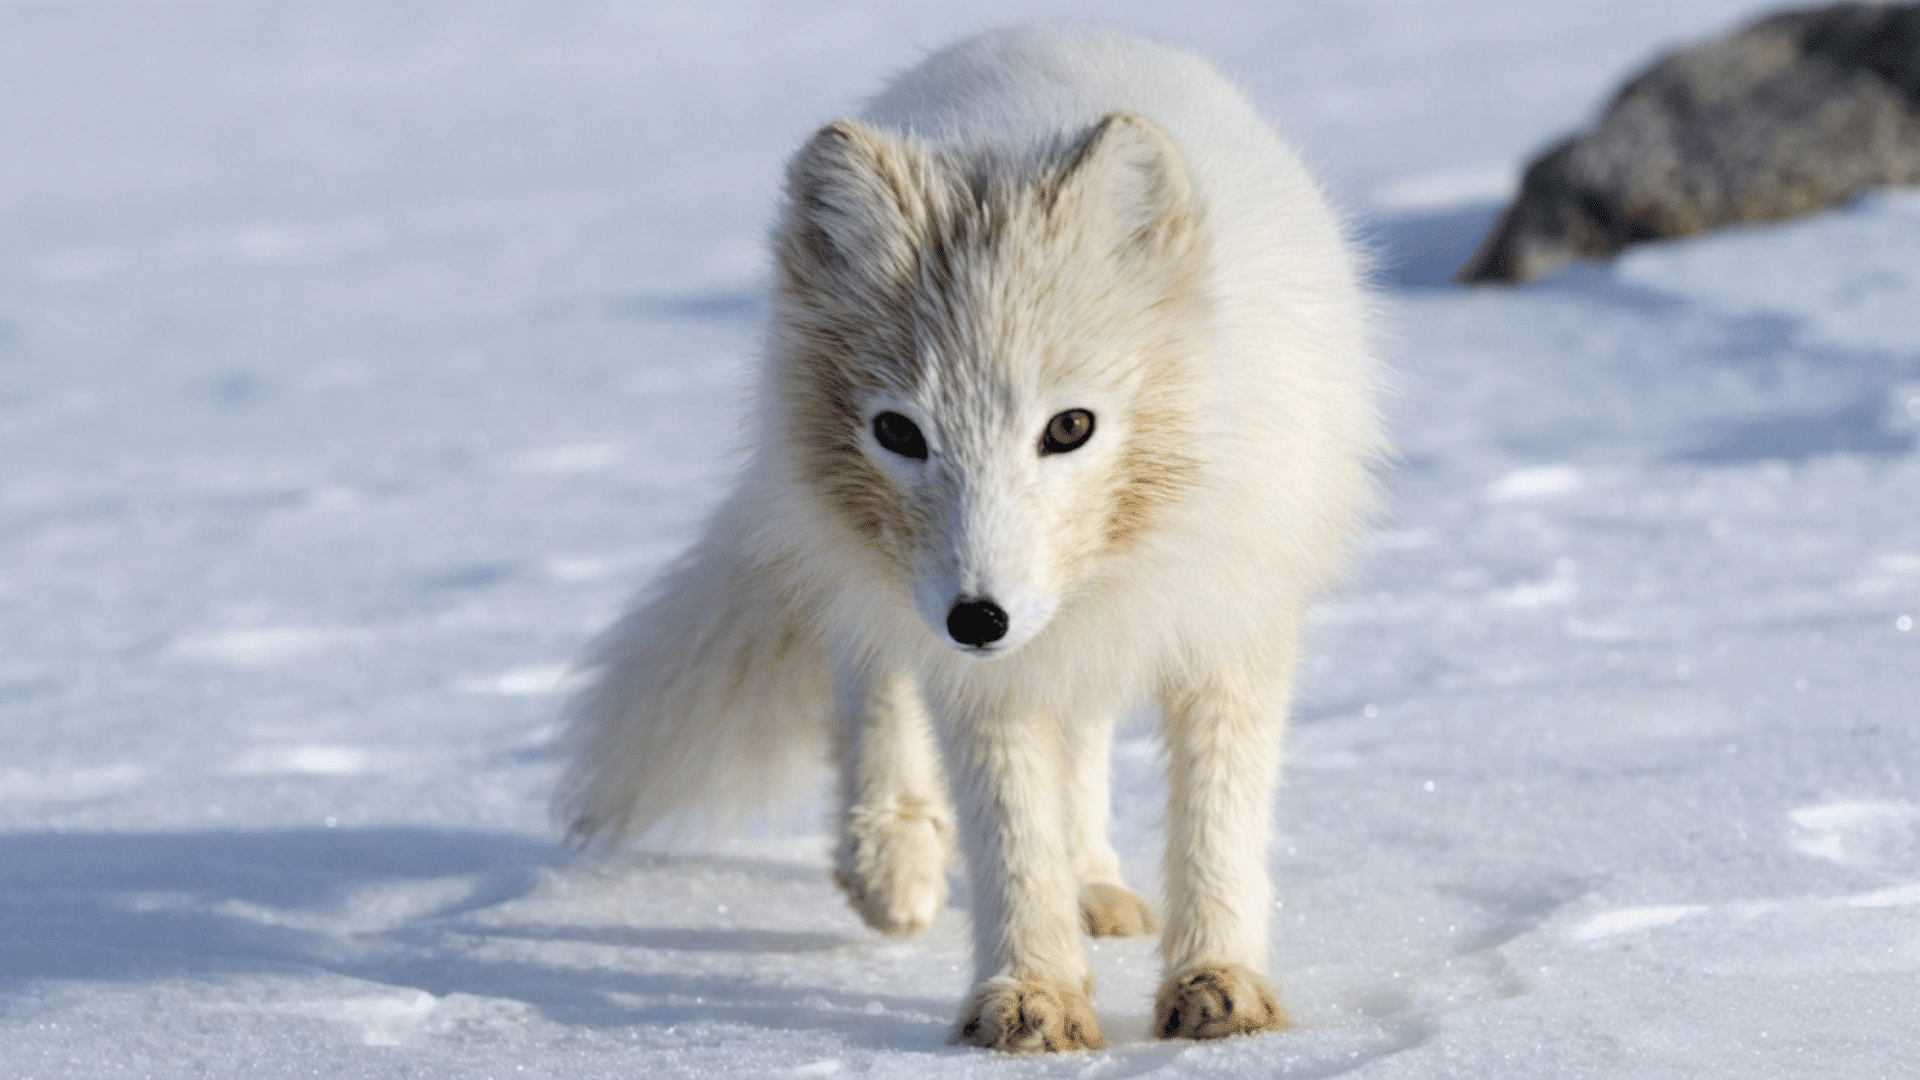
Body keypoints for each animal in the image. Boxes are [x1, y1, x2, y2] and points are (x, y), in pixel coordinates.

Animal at [556, 24, 1382, 1052]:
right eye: (899, 432)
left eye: (1070, 427)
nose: (977, 620)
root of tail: (1044, 29)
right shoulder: (975, 669)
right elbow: (1008, 831)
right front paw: (1030, 997)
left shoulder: (1231, 614)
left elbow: (1218, 819)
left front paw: (1220, 987)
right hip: (869, 575)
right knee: (874, 684)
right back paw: (894, 856)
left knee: (1084, 737)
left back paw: (1096, 883)